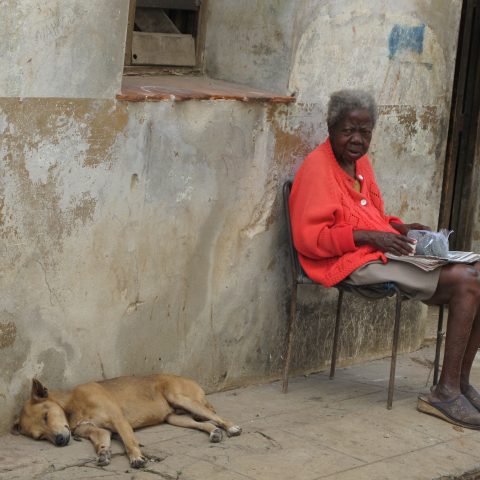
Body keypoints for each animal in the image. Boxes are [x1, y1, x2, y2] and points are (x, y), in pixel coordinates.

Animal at [13, 374, 242, 466]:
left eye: (46, 415)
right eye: (40, 437)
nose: (60, 441)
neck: (71, 405)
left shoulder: (118, 421)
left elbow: (129, 441)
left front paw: (136, 458)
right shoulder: (97, 431)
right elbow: (101, 442)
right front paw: (103, 453)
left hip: (182, 399)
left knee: (218, 417)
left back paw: (231, 427)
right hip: (174, 418)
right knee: (205, 423)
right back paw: (214, 432)